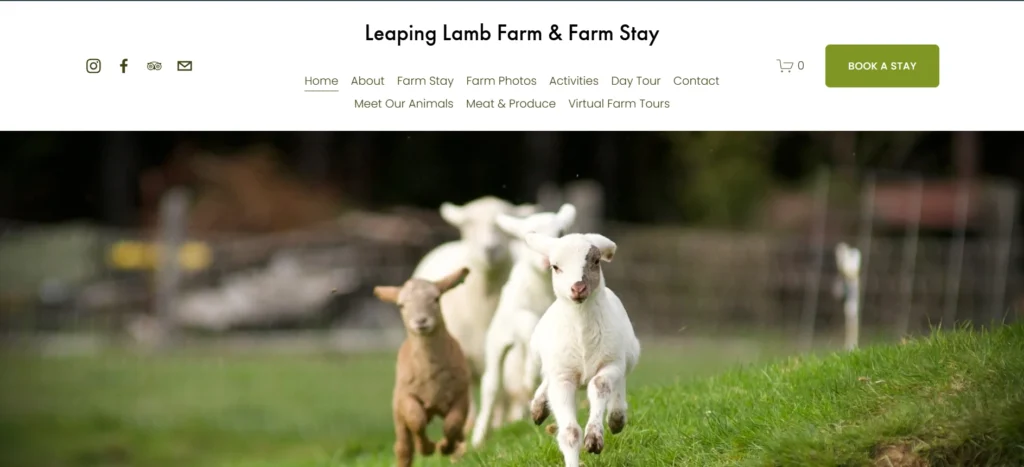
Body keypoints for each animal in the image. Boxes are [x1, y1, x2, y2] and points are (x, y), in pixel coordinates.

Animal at [373, 266, 473, 467]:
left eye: (436, 298)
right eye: (401, 305)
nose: (421, 321)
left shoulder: (461, 393)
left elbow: (453, 424)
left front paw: (445, 447)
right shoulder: (406, 395)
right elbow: (416, 420)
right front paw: (426, 448)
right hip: (397, 410)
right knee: (403, 445)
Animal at [469, 203, 578, 447]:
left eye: (560, 233)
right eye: (530, 236)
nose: (547, 260)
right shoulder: (518, 313)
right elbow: (529, 322)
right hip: (496, 342)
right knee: (492, 385)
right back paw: (479, 437)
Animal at [523, 231, 641, 467]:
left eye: (595, 261)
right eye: (555, 266)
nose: (578, 288)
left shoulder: (611, 362)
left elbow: (600, 384)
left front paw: (594, 438)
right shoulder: (562, 377)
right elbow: (569, 433)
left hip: (627, 355)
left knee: (619, 382)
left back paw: (616, 417)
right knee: (546, 380)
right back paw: (539, 408)